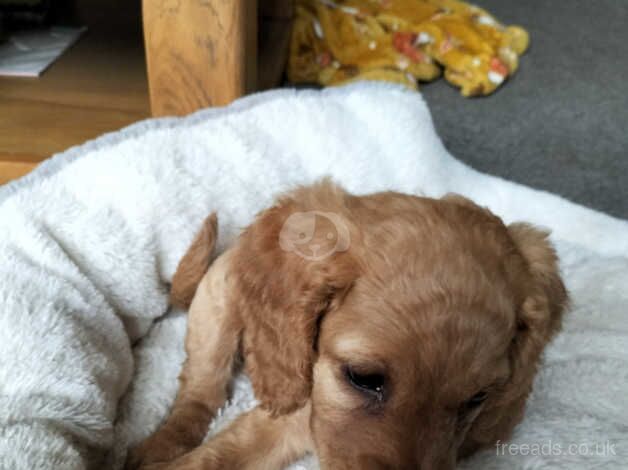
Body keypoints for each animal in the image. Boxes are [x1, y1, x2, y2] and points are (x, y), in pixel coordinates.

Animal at [125, 181, 568, 470]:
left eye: (478, 398)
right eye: (363, 377)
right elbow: (211, 457)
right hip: (215, 303)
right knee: (200, 388)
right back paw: (161, 444)